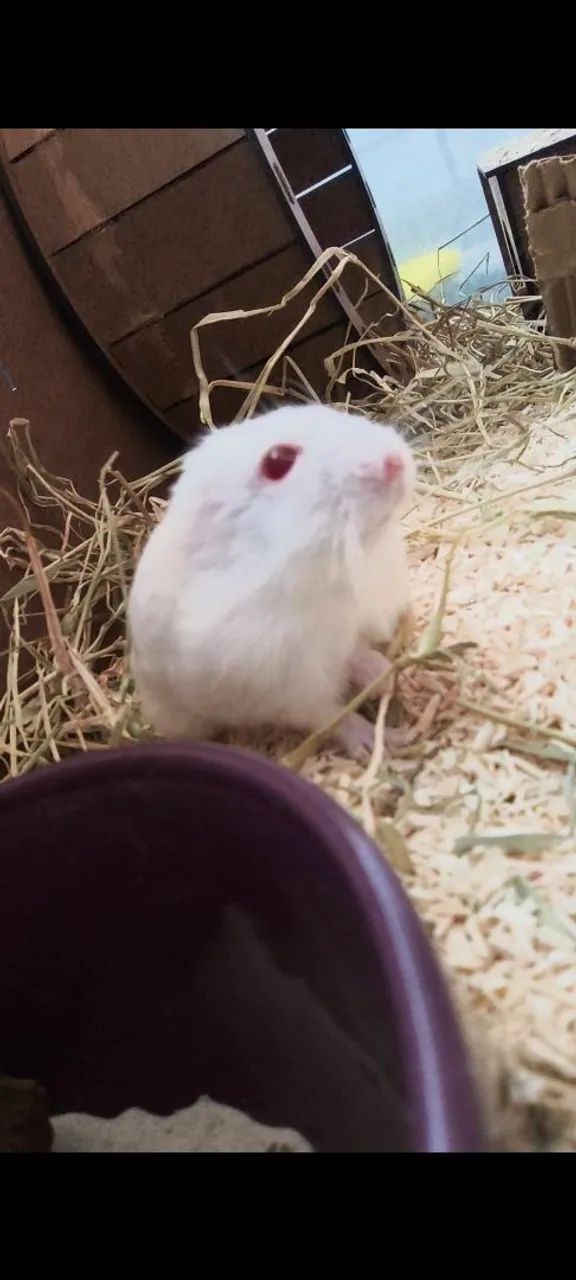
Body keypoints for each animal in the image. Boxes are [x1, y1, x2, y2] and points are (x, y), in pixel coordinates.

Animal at [128, 403, 415, 758]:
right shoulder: (291, 687)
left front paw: (384, 678)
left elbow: (357, 651)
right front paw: (380, 743)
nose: (394, 460)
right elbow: (331, 717)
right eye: (278, 460)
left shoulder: (348, 629)